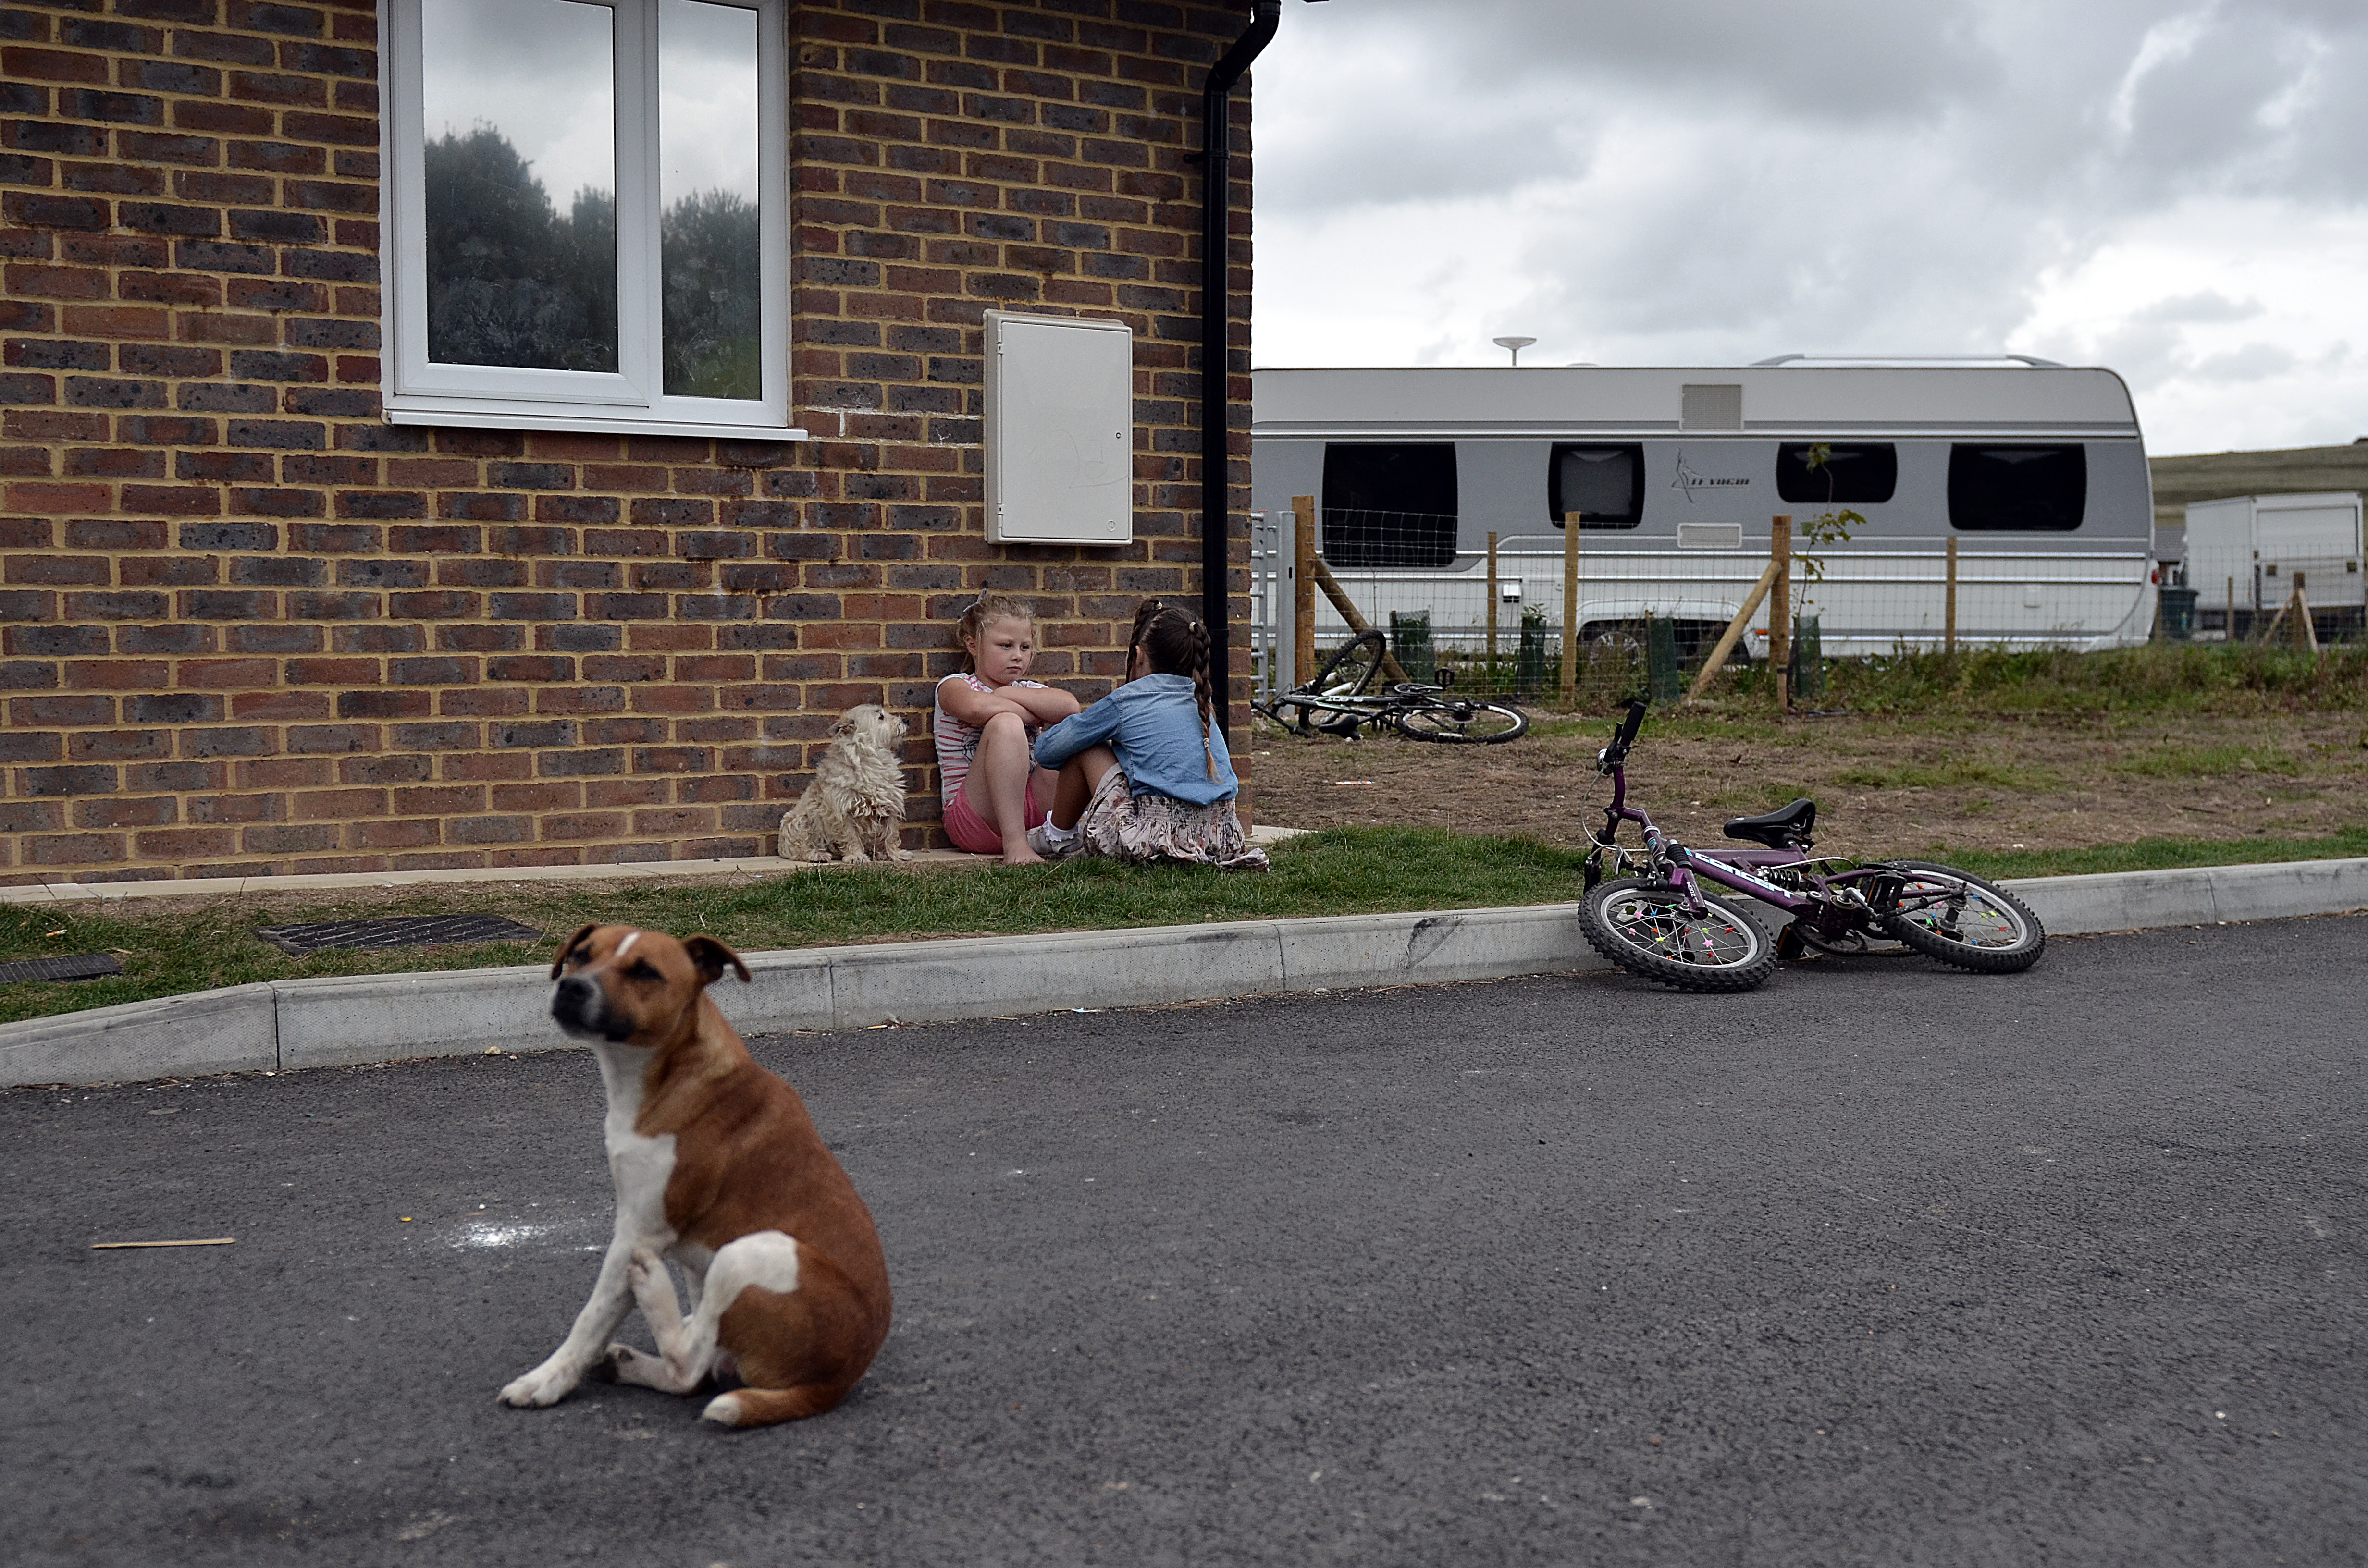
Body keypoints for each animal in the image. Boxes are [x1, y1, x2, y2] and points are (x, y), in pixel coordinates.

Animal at [494, 928, 890, 1431]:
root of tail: (835, 1383)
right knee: (697, 1368)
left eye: (646, 972)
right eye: (580, 956)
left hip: (751, 1251)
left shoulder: (639, 1230)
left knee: (692, 1365)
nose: (573, 988)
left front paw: (546, 1381)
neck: (667, 1073)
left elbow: (592, 1319)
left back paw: (652, 1290)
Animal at [772, 706, 909, 867]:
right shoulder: (844, 811)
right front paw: (856, 856)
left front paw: (895, 855)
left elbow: (891, 835)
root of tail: (781, 848)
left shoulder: (890, 806)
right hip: (799, 823)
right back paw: (818, 855)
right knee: (802, 849)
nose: (906, 720)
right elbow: (850, 836)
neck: (873, 759)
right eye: (881, 717)